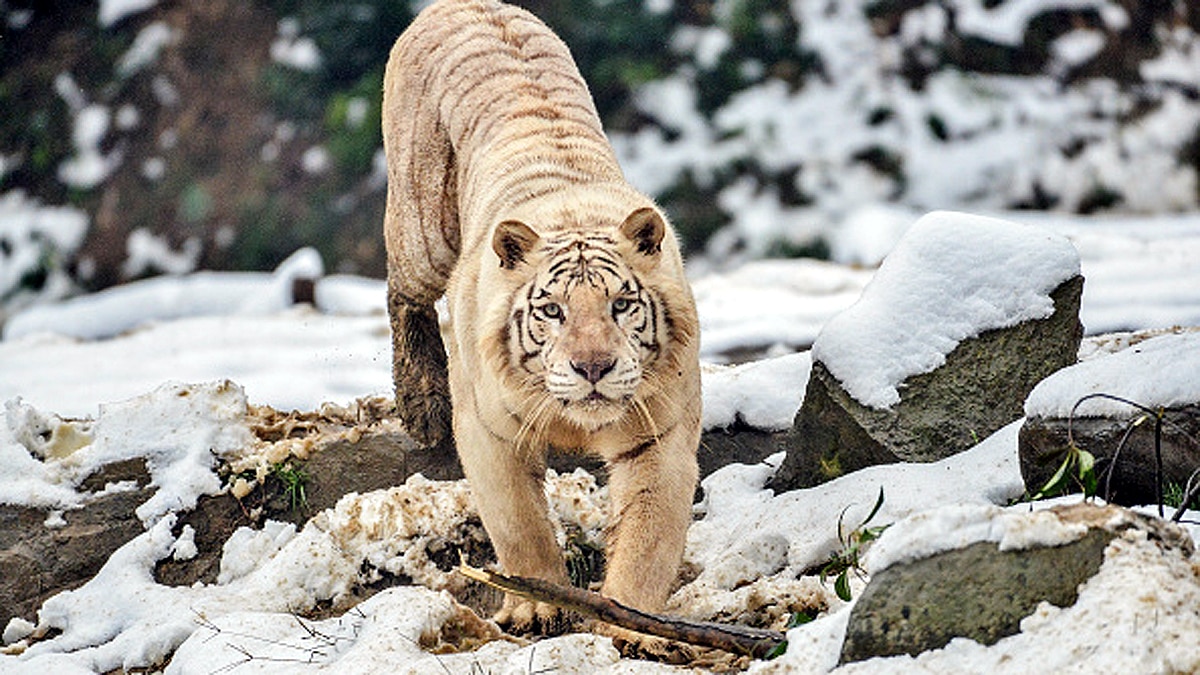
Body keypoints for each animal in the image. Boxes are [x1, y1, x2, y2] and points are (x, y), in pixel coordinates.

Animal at [382, 0, 701, 633]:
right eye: (552, 310)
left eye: (620, 305)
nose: (593, 368)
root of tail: (457, 4)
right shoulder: (489, 431)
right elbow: (519, 525)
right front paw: (534, 605)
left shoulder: (660, 435)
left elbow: (649, 536)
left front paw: (630, 624)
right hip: (422, 232)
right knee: (400, 289)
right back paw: (422, 404)